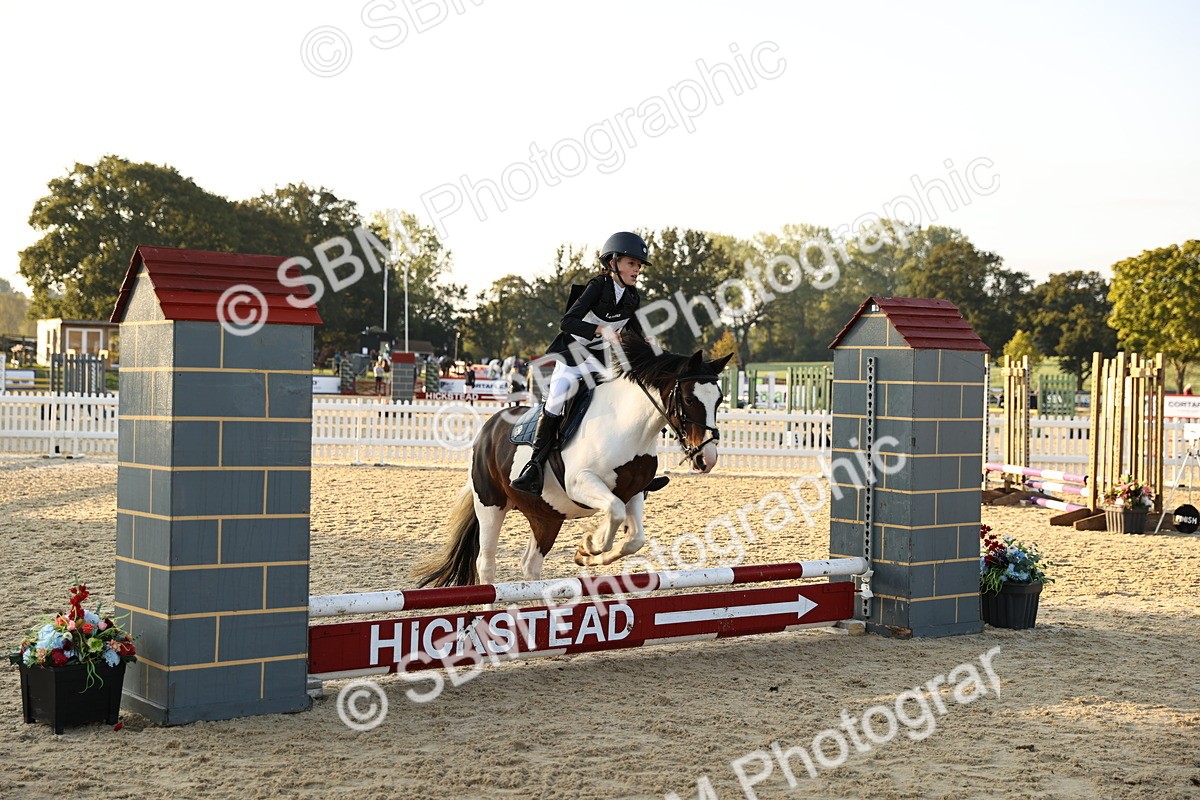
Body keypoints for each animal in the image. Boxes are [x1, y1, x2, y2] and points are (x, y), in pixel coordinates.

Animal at [413, 334, 733, 587]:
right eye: (689, 399)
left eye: (718, 401)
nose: (706, 458)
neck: (628, 426)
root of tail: (488, 429)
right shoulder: (581, 483)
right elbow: (614, 512)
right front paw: (591, 545)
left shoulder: (633, 493)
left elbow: (634, 538)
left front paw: (586, 553)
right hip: (491, 505)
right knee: (487, 564)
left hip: (546, 517)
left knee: (531, 565)